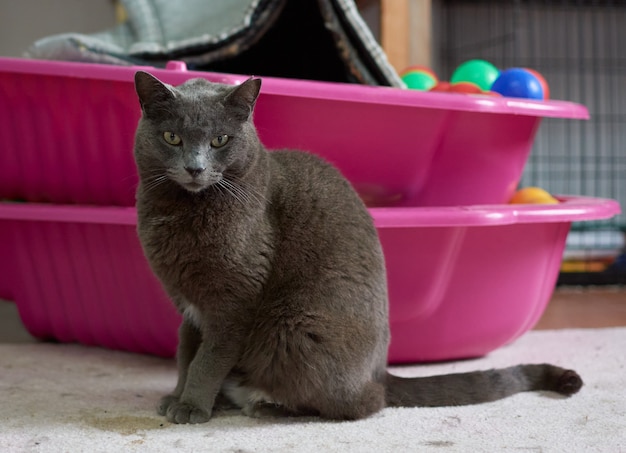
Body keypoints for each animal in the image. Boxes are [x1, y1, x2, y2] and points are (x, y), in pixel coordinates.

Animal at [132, 71, 580, 424]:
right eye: (172, 137)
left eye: (220, 140)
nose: (195, 168)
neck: (182, 212)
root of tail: (378, 371)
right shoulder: (190, 306)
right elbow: (186, 351)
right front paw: (177, 396)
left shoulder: (234, 303)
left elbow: (208, 359)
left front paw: (191, 406)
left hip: (292, 328)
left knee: (361, 405)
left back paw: (267, 405)